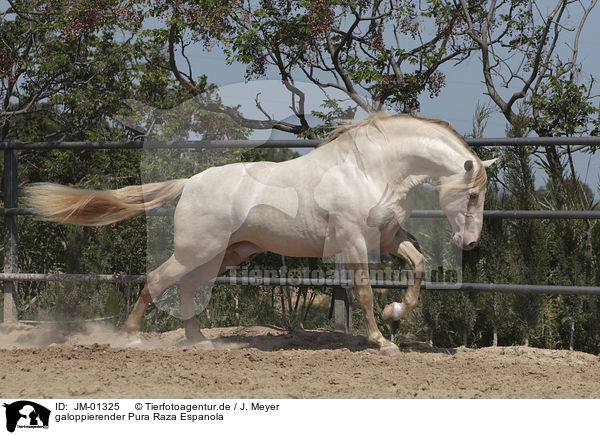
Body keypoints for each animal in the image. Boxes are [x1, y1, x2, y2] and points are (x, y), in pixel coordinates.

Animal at [25, 114, 494, 356]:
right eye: (472, 196)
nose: (470, 244)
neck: (373, 169)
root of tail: (189, 183)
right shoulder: (355, 241)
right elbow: (362, 291)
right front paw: (381, 341)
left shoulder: (388, 237)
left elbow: (419, 266)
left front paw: (396, 312)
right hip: (199, 249)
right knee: (159, 280)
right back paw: (132, 335)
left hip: (224, 255)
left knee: (189, 286)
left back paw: (199, 342)